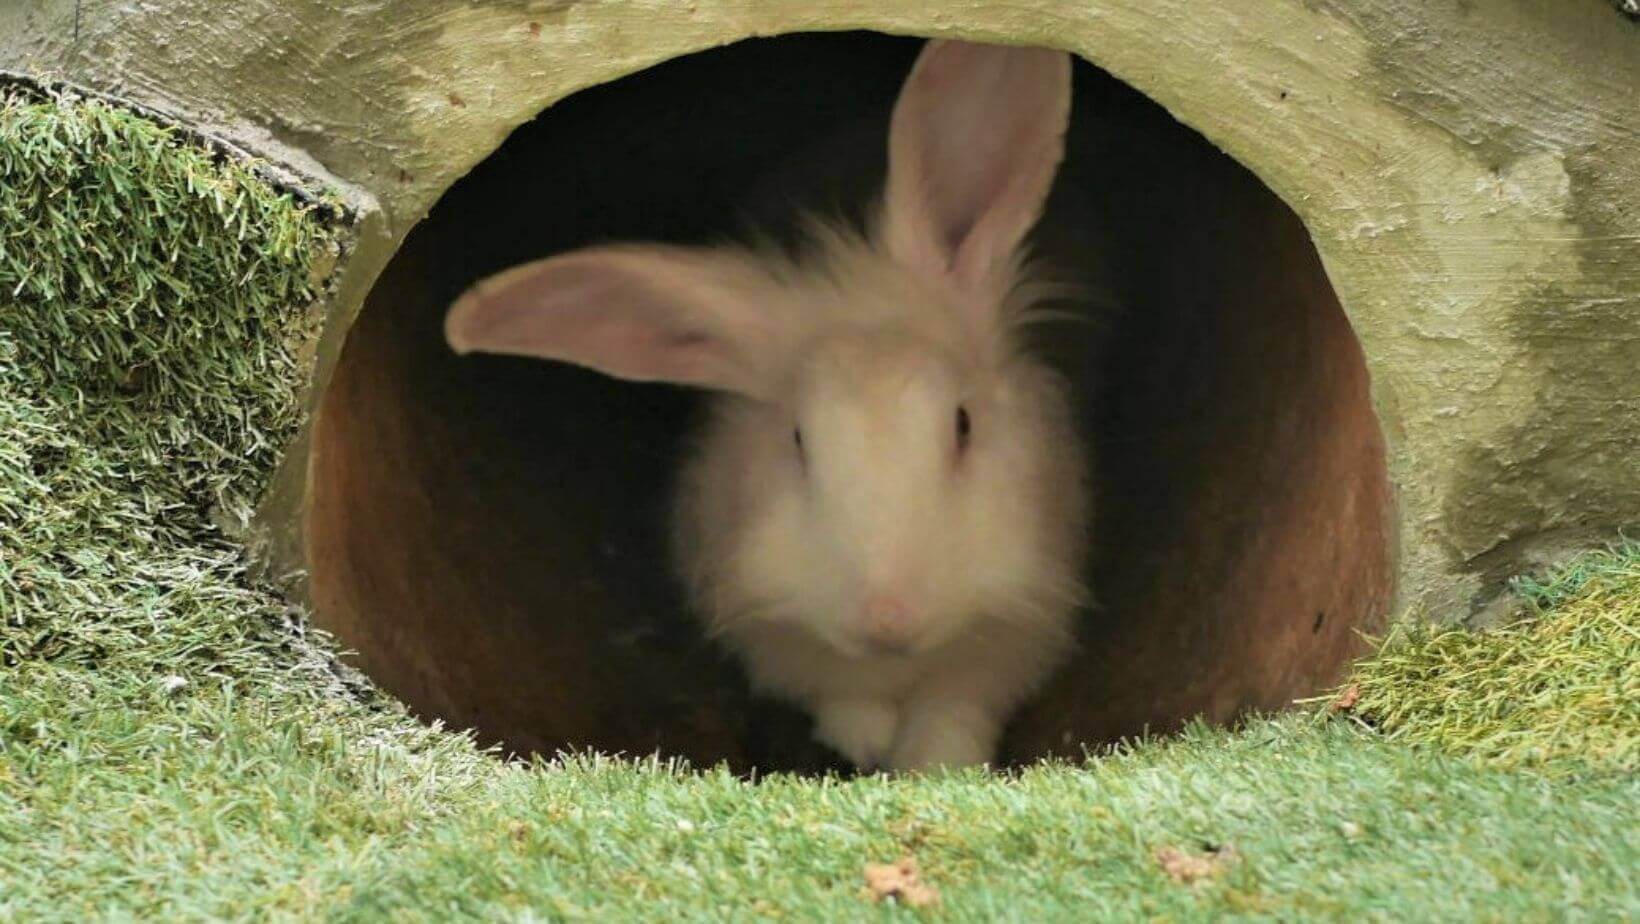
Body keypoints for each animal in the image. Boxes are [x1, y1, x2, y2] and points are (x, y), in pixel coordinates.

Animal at [442, 37, 1095, 774]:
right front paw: (867, 740)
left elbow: (952, 716)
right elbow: (845, 702)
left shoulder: (1011, 636)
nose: (889, 619)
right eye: (798, 440)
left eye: (962, 424)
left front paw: (930, 764)